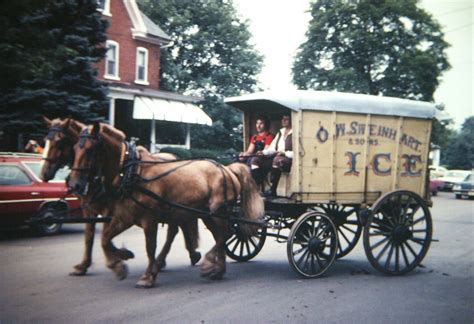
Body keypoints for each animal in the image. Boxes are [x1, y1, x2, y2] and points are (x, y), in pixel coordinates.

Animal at [41, 117, 202, 278]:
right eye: (74, 148)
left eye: (60, 142)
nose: (44, 173)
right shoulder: (90, 209)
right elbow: (90, 236)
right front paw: (84, 265)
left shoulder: (111, 210)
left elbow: (104, 235)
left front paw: (118, 260)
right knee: (178, 227)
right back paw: (185, 256)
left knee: (174, 230)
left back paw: (169, 259)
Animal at [66, 123, 262, 288]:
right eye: (74, 148)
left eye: (90, 150)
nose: (74, 185)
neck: (132, 172)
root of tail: (228, 169)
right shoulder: (124, 216)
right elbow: (104, 238)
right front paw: (119, 262)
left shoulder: (149, 218)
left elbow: (149, 246)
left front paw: (147, 276)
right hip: (207, 214)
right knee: (219, 236)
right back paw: (217, 270)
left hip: (218, 212)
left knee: (224, 234)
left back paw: (208, 264)